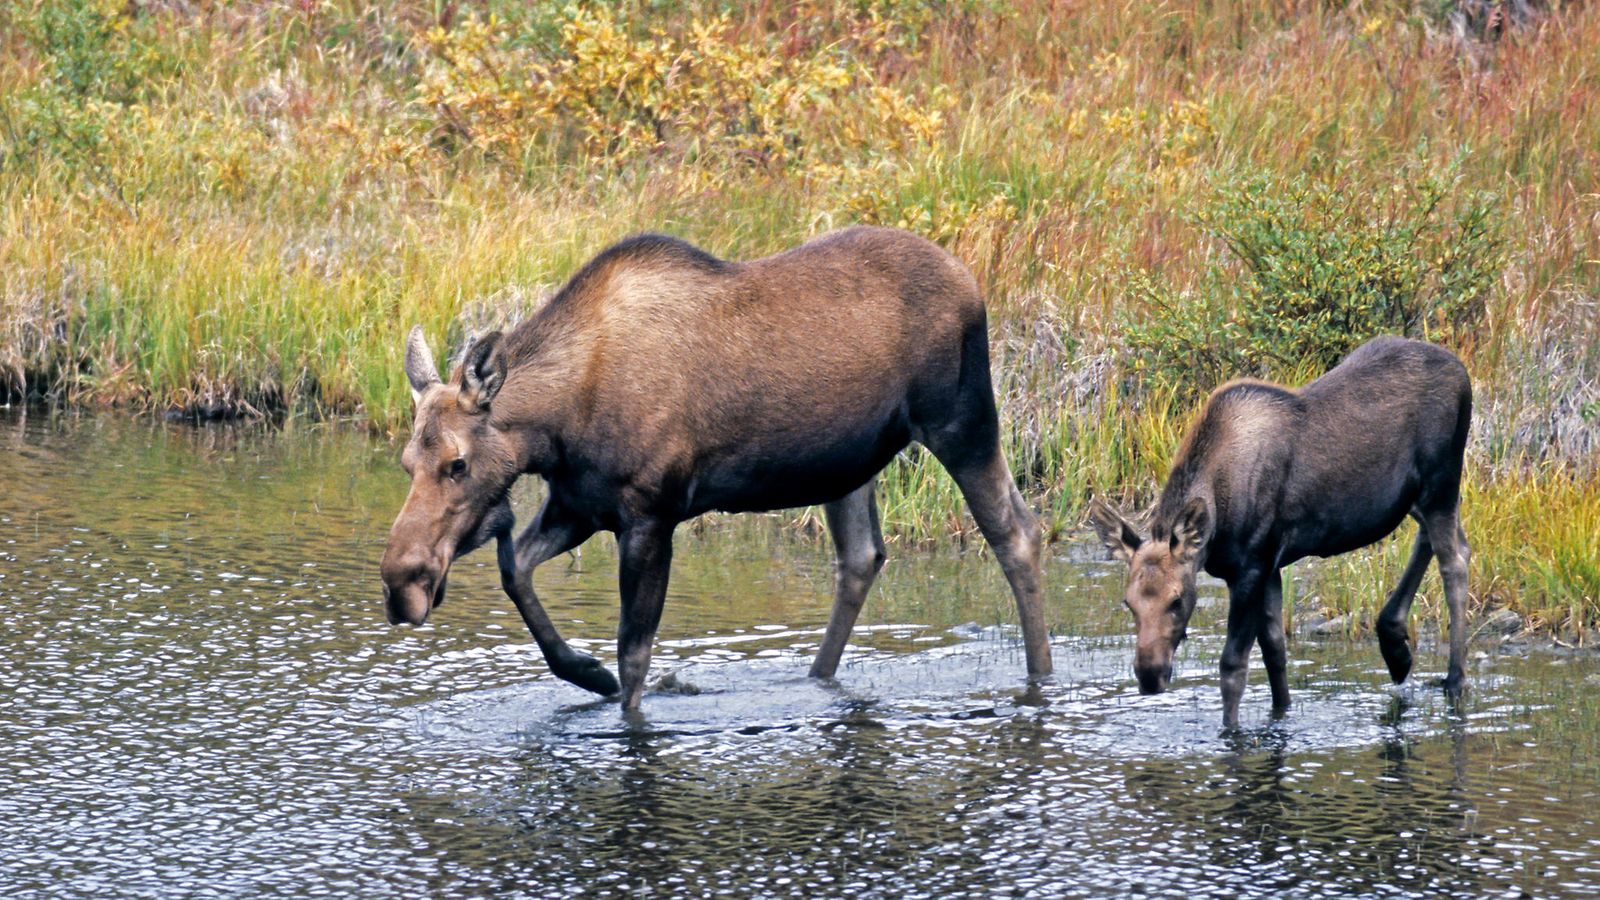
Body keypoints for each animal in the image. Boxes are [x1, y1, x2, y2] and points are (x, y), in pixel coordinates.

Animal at [374, 224, 1049, 707]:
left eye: (458, 464)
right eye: (407, 461)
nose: (402, 582)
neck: (557, 427)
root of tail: (973, 281)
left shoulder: (651, 516)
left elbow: (635, 657)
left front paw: (618, 695)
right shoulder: (580, 504)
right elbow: (516, 568)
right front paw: (586, 673)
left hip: (962, 419)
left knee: (1016, 531)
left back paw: (1041, 677)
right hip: (850, 462)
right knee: (862, 557)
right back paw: (814, 679)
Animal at [1088, 337, 1472, 730]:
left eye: (1177, 600)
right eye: (1128, 602)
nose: (1149, 675)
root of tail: (1462, 371)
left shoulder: (1251, 567)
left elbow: (1233, 667)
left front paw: (1231, 732)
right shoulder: (1270, 566)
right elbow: (1275, 651)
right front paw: (1281, 713)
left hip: (1442, 481)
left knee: (1454, 561)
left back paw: (1454, 679)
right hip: (1416, 497)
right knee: (1439, 540)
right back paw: (1395, 645)